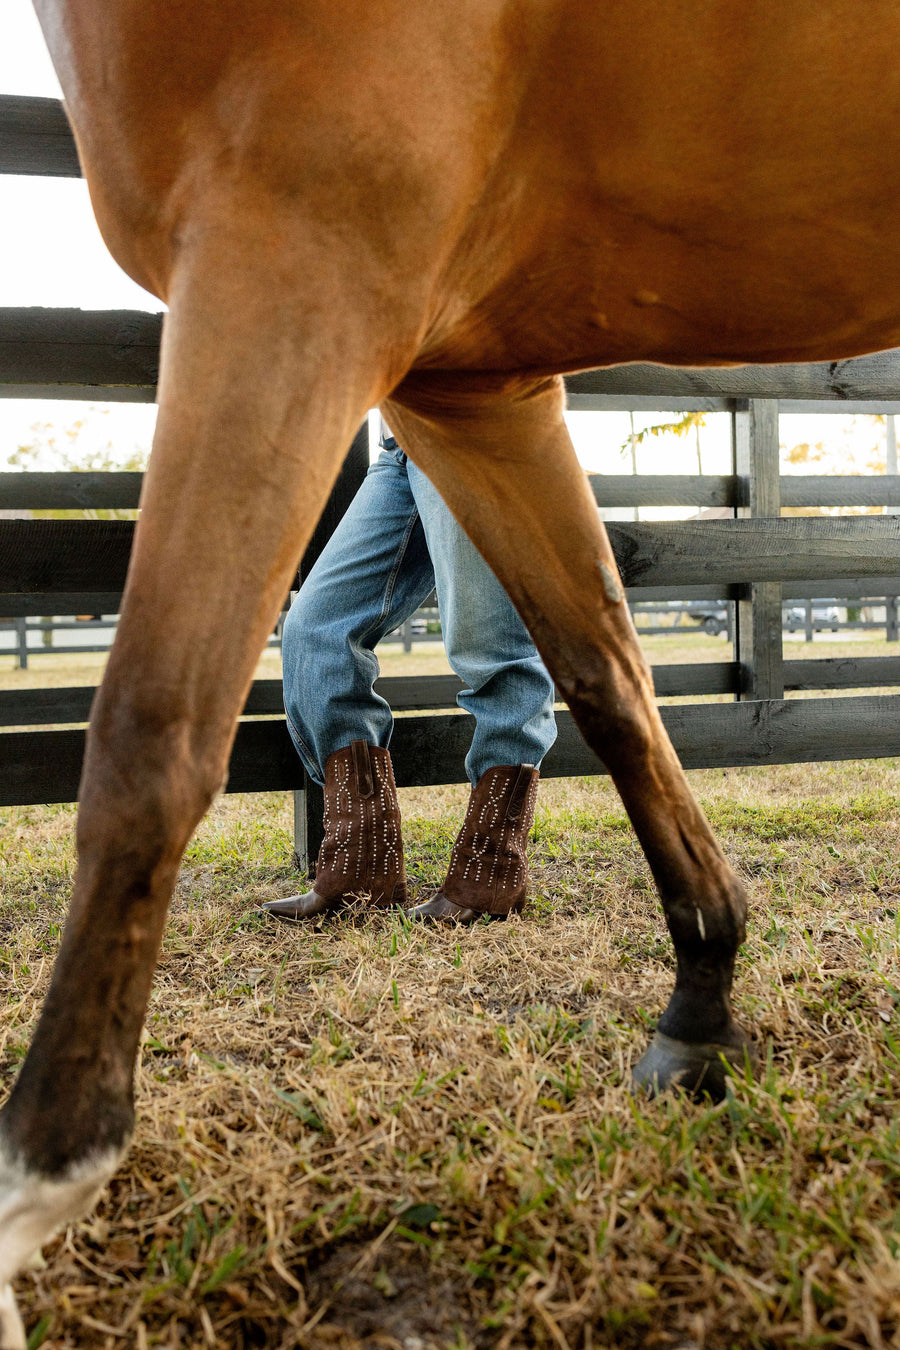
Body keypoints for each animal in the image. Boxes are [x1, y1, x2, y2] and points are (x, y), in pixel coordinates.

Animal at [4, 2, 900, 1342]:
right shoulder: (471, 383)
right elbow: (605, 675)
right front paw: (700, 1003)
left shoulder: (288, 256)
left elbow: (151, 731)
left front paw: (35, 1184)